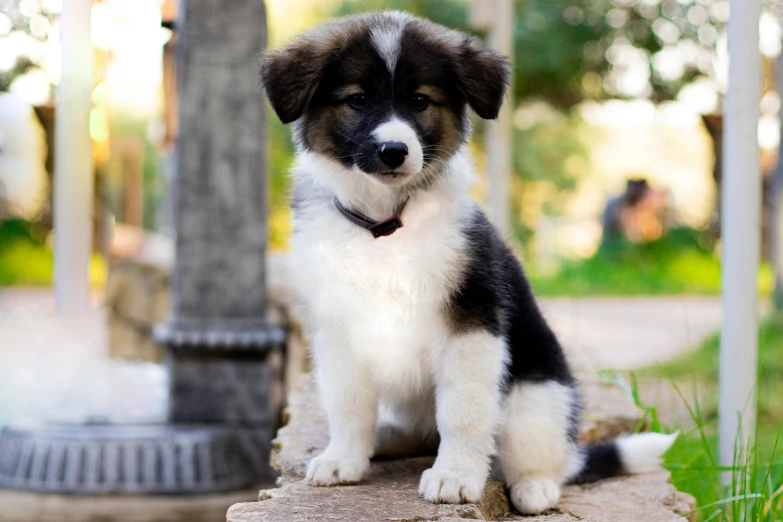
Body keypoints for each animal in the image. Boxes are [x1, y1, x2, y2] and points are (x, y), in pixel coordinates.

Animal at [260, 11, 676, 512]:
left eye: (420, 100)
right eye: (357, 100)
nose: (394, 151)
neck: (384, 222)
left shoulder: (471, 320)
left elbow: (463, 410)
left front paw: (454, 476)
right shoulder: (337, 326)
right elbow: (347, 402)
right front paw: (344, 459)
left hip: (535, 397)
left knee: (541, 455)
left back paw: (534, 488)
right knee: (421, 433)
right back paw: (386, 439)